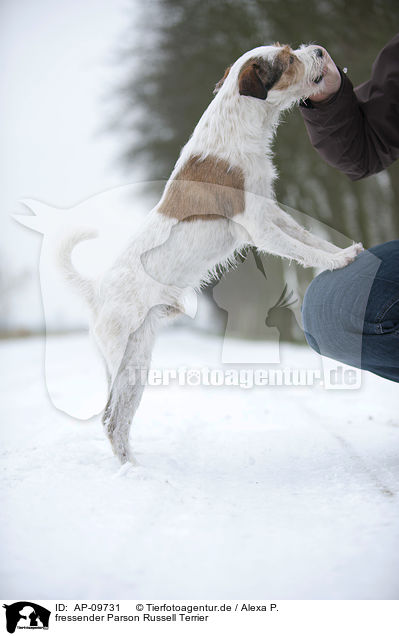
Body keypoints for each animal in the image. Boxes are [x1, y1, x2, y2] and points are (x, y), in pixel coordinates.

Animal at [58, 43, 366, 462]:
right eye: (288, 59)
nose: (319, 50)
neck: (236, 128)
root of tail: (96, 293)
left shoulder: (271, 211)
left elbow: (308, 239)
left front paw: (343, 249)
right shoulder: (258, 227)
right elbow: (302, 251)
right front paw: (338, 261)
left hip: (136, 363)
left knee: (117, 420)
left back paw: (132, 466)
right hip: (125, 362)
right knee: (108, 419)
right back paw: (131, 470)